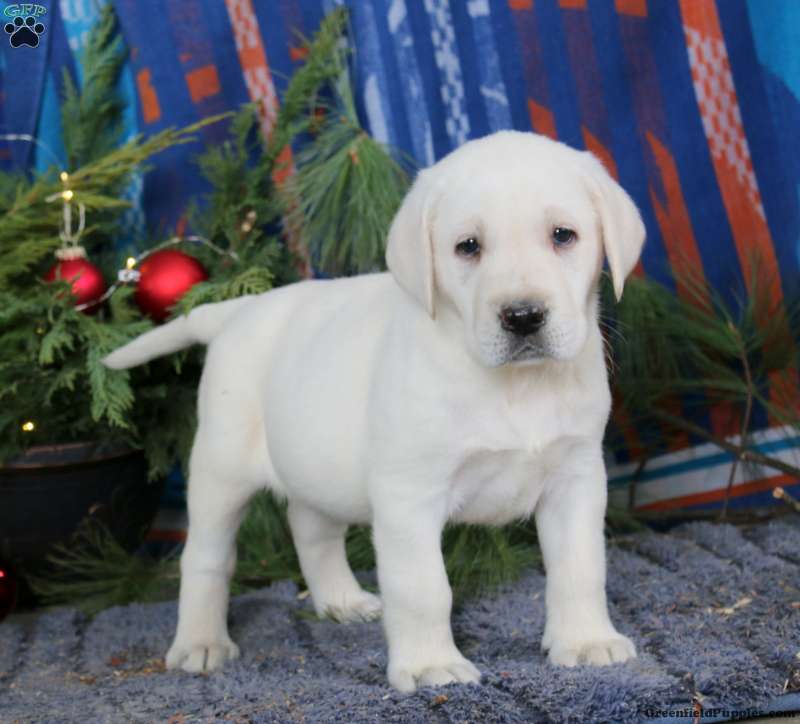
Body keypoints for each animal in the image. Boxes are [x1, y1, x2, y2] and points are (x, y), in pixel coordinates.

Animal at [104, 130, 645, 693]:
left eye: (563, 235)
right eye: (468, 247)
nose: (522, 316)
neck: (513, 387)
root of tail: (238, 309)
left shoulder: (576, 478)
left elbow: (580, 568)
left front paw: (585, 641)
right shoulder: (409, 496)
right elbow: (424, 588)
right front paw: (430, 664)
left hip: (313, 465)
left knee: (310, 528)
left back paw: (340, 601)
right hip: (220, 470)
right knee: (206, 558)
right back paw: (200, 641)